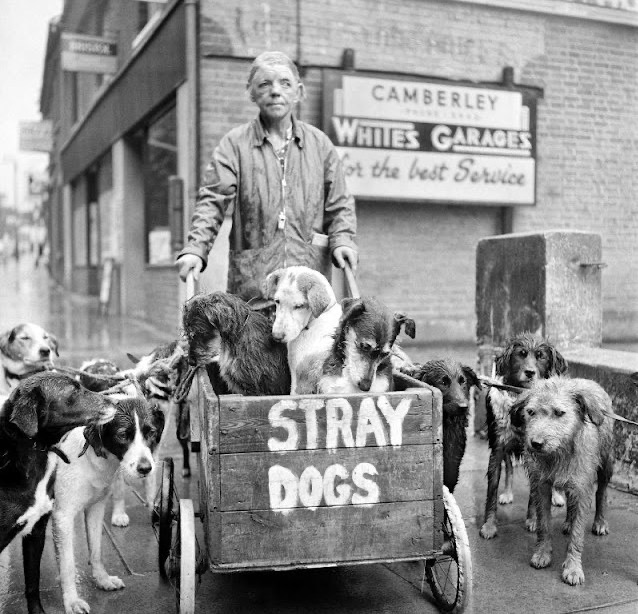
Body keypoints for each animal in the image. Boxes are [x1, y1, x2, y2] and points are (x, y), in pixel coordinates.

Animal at [52, 398, 165, 612]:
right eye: (122, 435)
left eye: (152, 433)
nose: (146, 468)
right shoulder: (63, 516)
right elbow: (67, 565)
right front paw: (71, 601)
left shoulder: (95, 508)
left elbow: (96, 551)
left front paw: (102, 580)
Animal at [480, 334, 568, 540]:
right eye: (521, 354)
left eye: (541, 356)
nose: (529, 372)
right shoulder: (497, 448)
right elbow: (492, 491)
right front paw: (489, 526)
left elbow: (535, 492)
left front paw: (533, 520)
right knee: (510, 468)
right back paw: (507, 493)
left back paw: (557, 497)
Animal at [516, 376, 616, 588]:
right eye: (530, 412)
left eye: (559, 413)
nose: (535, 443)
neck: (559, 453)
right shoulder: (541, 486)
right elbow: (544, 524)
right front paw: (543, 553)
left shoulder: (583, 488)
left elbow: (577, 535)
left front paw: (573, 568)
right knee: (571, 500)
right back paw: (569, 521)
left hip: (606, 462)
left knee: (601, 492)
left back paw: (600, 521)